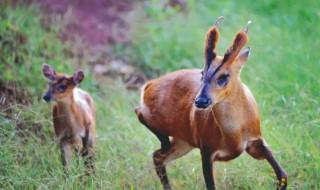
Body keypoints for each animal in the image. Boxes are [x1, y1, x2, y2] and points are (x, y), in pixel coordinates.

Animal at [135, 16, 288, 190]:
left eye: (224, 76)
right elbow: (210, 185)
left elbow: (283, 174)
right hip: (165, 126)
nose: (201, 101)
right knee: (142, 119)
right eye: (202, 73)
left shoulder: (255, 141)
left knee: (158, 156)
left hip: (184, 142)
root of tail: (149, 85)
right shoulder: (207, 149)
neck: (233, 135)